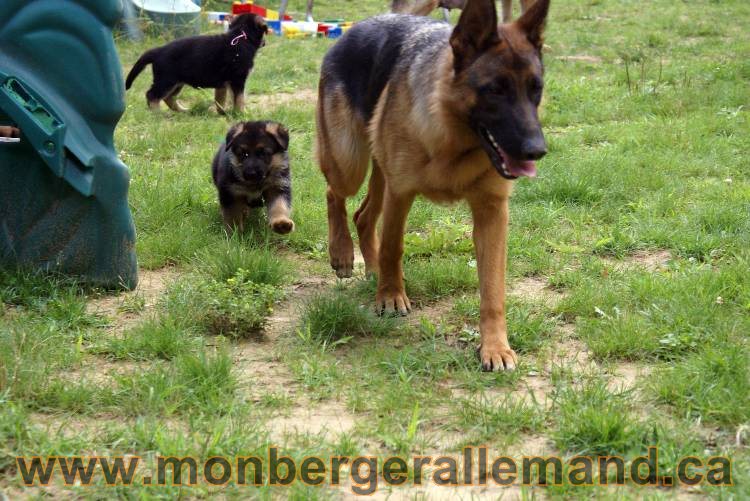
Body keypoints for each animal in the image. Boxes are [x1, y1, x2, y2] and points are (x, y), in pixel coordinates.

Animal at [126, 13, 270, 113]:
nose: (265, 43)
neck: (241, 36)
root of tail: (158, 50)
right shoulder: (238, 80)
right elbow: (239, 99)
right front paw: (241, 113)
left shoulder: (223, 83)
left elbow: (221, 99)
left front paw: (223, 112)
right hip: (166, 81)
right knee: (152, 95)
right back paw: (157, 113)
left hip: (177, 82)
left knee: (168, 98)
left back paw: (182, 111)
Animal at [318, 0, 552, 372]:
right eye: (495, 90)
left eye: (535, 88)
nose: (536, 151)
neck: (454, 138)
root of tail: (361, 25)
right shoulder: (401, 195)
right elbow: (393, 247)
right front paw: (390, 297)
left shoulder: (492, 213)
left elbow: (493, 288)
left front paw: (495, 346)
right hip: (349, 162)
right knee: (334, 194)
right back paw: (341, 253)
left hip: (379, 173)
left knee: (363, 216)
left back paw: (370, 270)